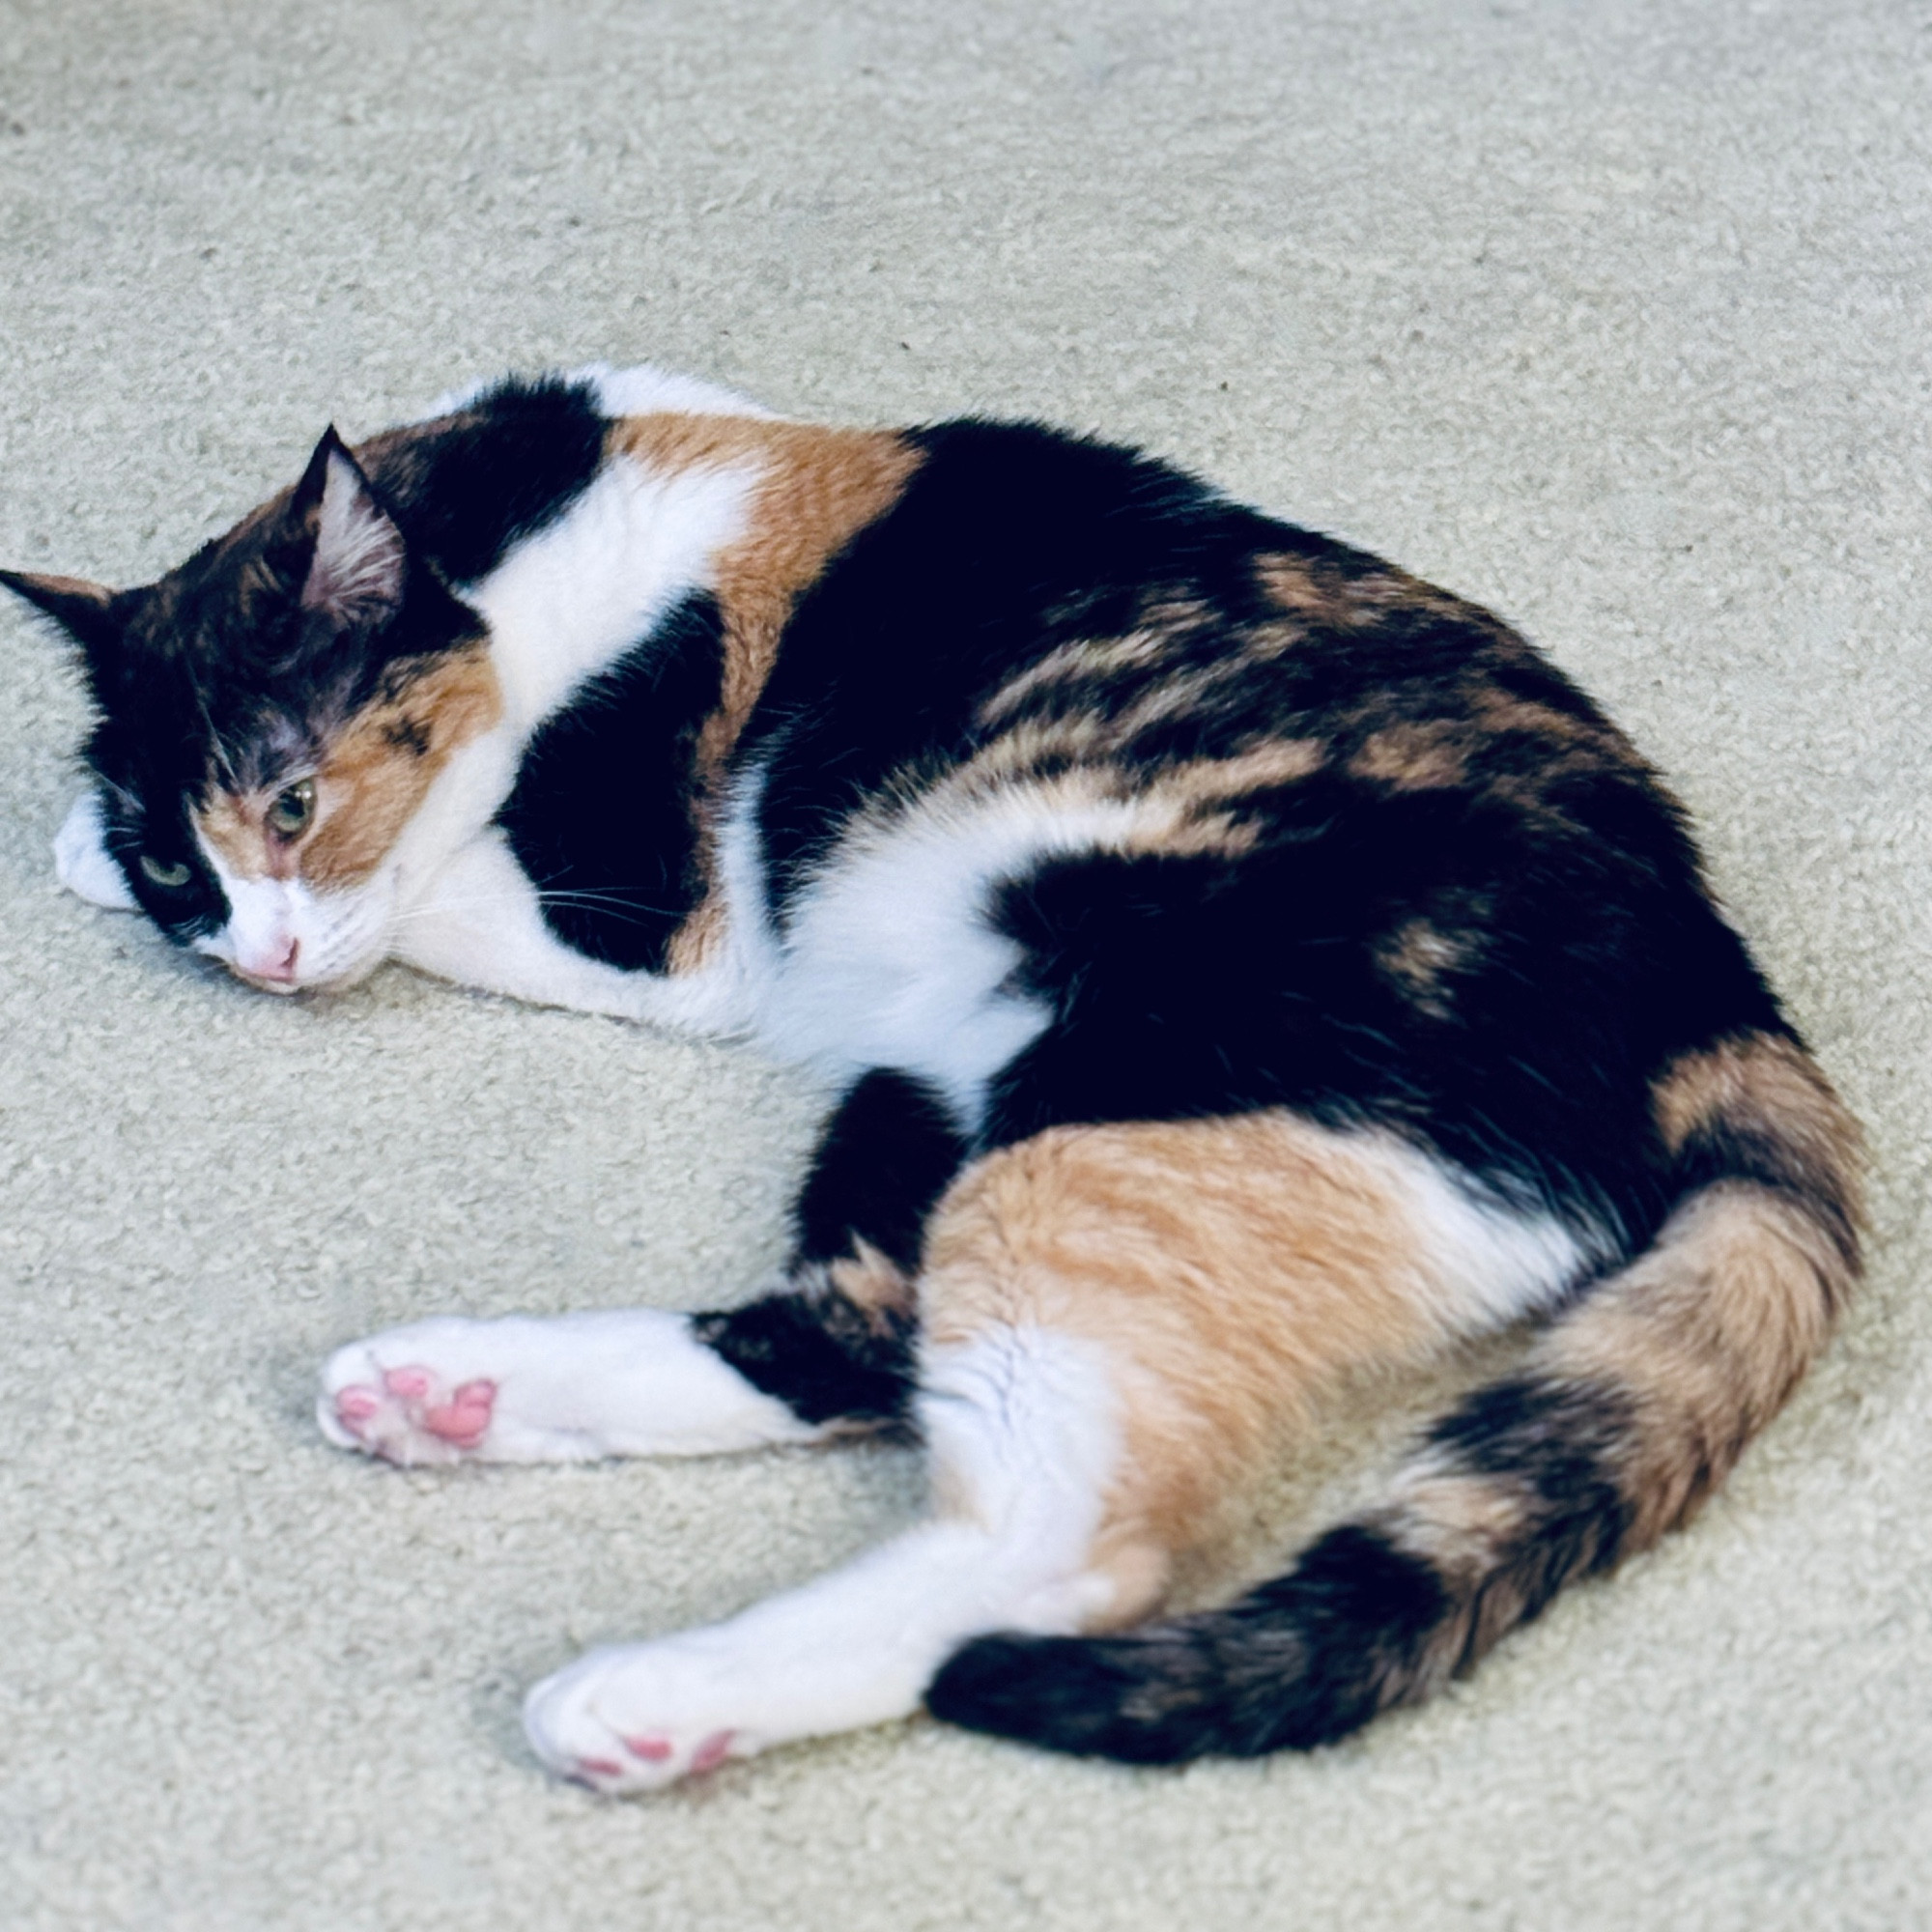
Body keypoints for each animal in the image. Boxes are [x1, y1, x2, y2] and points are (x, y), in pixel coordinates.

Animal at [7, 365, 1862, 1793]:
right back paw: (448, 1395)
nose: (253, 951)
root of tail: (1717, 993)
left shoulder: (655, 924)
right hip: (936, 1084)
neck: (554, 518)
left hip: (1135, 1093)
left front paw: (91, 854)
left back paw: (652, 1696)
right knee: (858, 1333)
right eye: (188, 866)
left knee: (1050, 1546)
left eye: (293, 805)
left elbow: (438, 900)